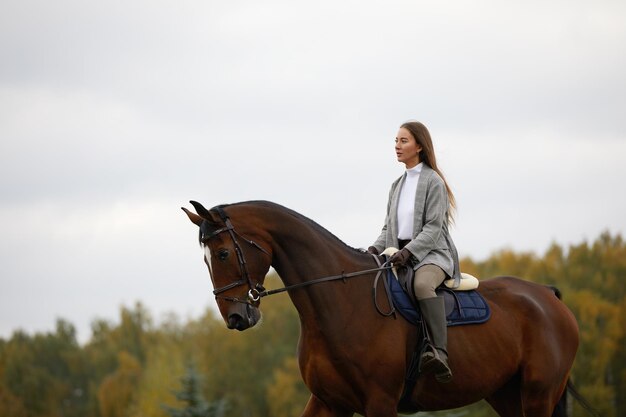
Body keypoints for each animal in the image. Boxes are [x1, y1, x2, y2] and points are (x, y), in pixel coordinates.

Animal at [183, 200, 576, 414]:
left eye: (222, 253)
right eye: (204, 259)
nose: (236, 317)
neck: (340, 303)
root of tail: (547, 295)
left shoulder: (380, 403)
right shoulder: (328, 402)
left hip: (539, 395)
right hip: (507, 394)